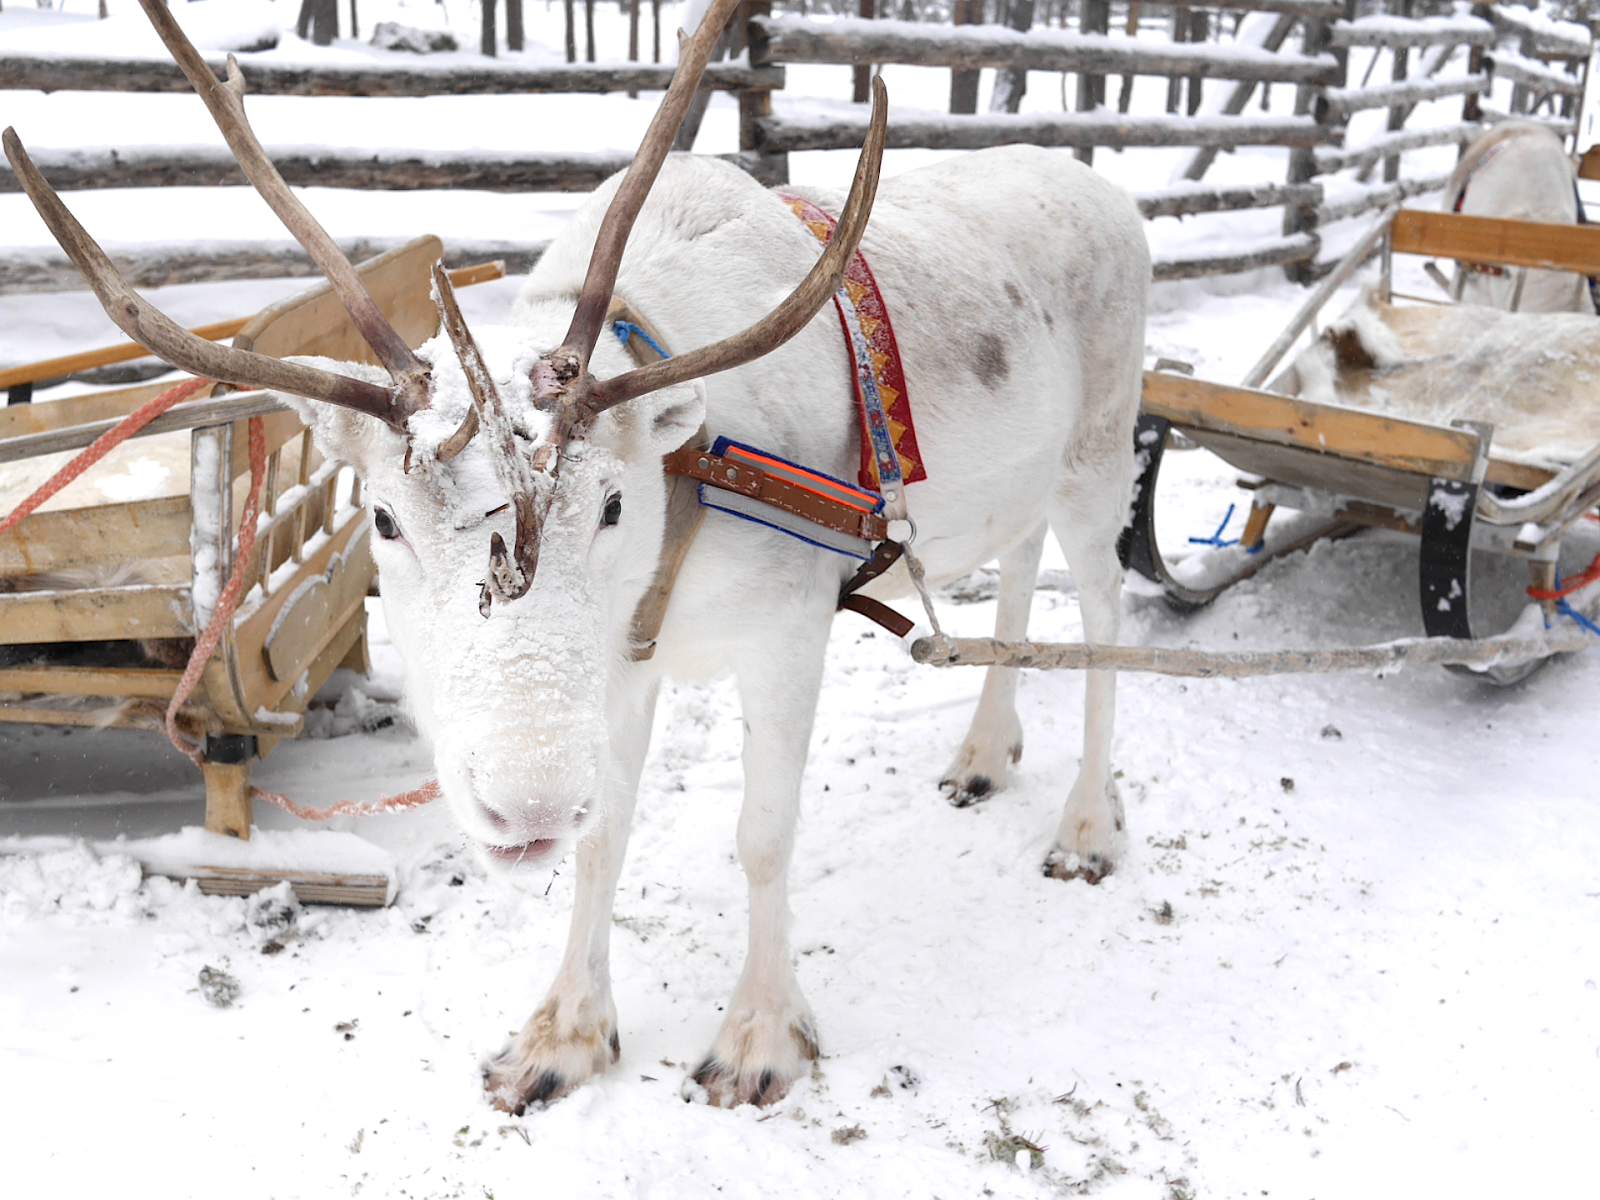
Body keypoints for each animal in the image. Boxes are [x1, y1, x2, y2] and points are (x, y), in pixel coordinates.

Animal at [5, 0, 1149, 1112]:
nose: (527, 810)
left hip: (1098, 457)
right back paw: (983, 754)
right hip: (1022, 487)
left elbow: (763, 834)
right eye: (383, 521)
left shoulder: (787, 630)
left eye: (610, 504)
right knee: (1017, 574)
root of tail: (1110, 193)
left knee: (1103, 618)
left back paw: (1089, 827)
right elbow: (607, 837)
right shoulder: (626, 660)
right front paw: (563, 1037)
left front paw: (760, 1039)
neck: (679, 507)